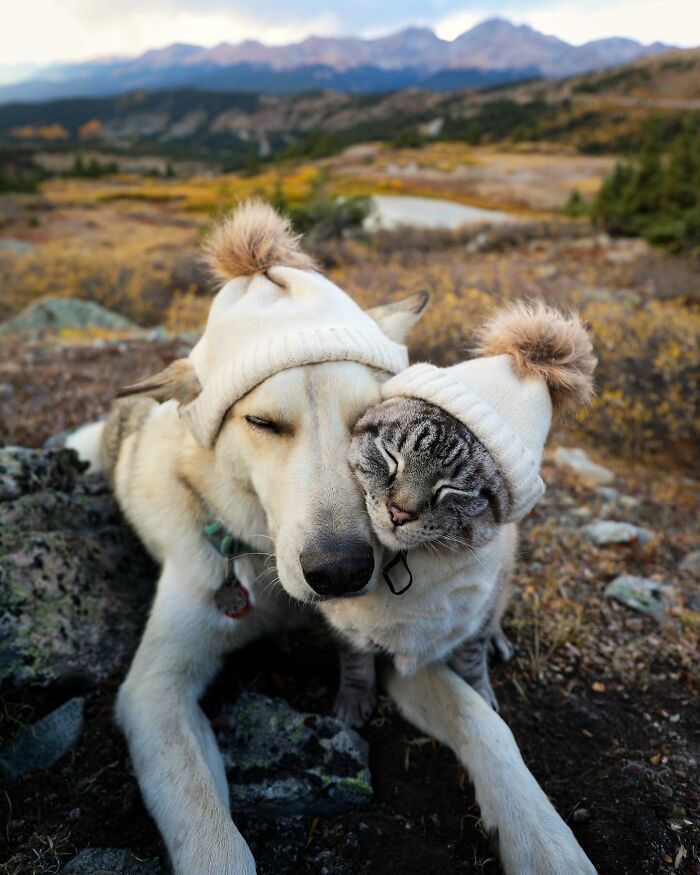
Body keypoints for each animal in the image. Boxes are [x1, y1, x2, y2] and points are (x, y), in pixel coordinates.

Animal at [68, 202, 596, 872]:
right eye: (262, 422)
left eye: (366, 423)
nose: (342, 573)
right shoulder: (154, 693)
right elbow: (209, 833)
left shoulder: (399, 652)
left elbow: (487, 727)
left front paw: (547, 844)